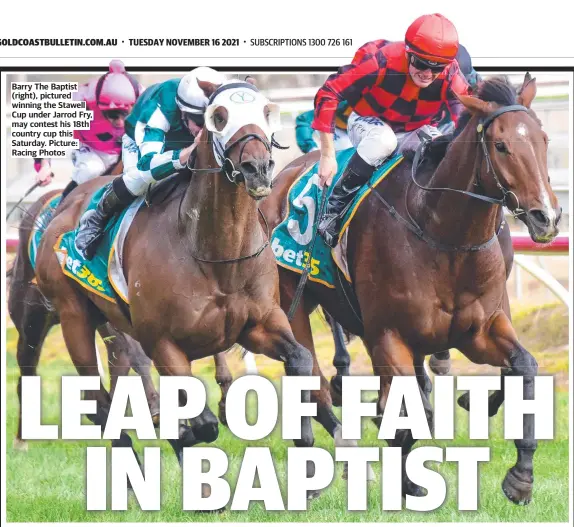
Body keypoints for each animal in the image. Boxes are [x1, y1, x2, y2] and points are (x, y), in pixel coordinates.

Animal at [32, 78, 320, 474]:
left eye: (266, 111)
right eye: (219, 117)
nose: (257, 168)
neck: (216, 254)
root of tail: (62, 208)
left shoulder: (258, 324)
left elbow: (301, 359)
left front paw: (305, 449)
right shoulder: (162, 341)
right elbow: (201, 420)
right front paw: (187, 432)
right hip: (73, 316)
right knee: (98, 401)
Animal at [264, 72, 564, 506]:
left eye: (543, 139)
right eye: (501, 145)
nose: (547, 217)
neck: (441, 233)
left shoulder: (479, 330)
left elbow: (523, 366)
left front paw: (520, 476)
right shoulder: (389, 336)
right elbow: (405, 413)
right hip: (295, 303)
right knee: (311, 381)